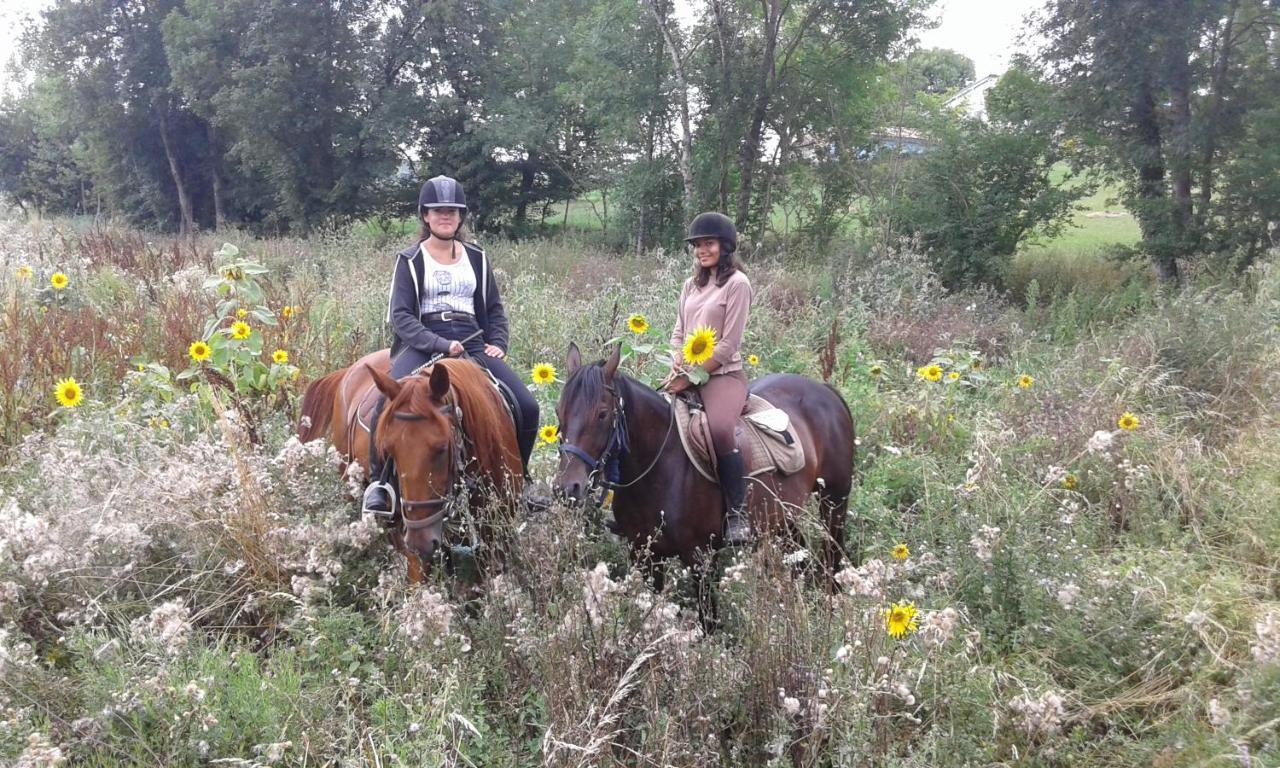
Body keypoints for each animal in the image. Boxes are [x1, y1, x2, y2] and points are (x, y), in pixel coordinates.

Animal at [555, 343, 855, 611]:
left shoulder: (700, 559)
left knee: (833, 555)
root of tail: (825, 390)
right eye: (559, 412)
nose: (567, 488)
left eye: (603, 414)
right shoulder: (645, 557)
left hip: (834, 503)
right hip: (782, 518)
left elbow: (708, 621)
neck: (660, 469)